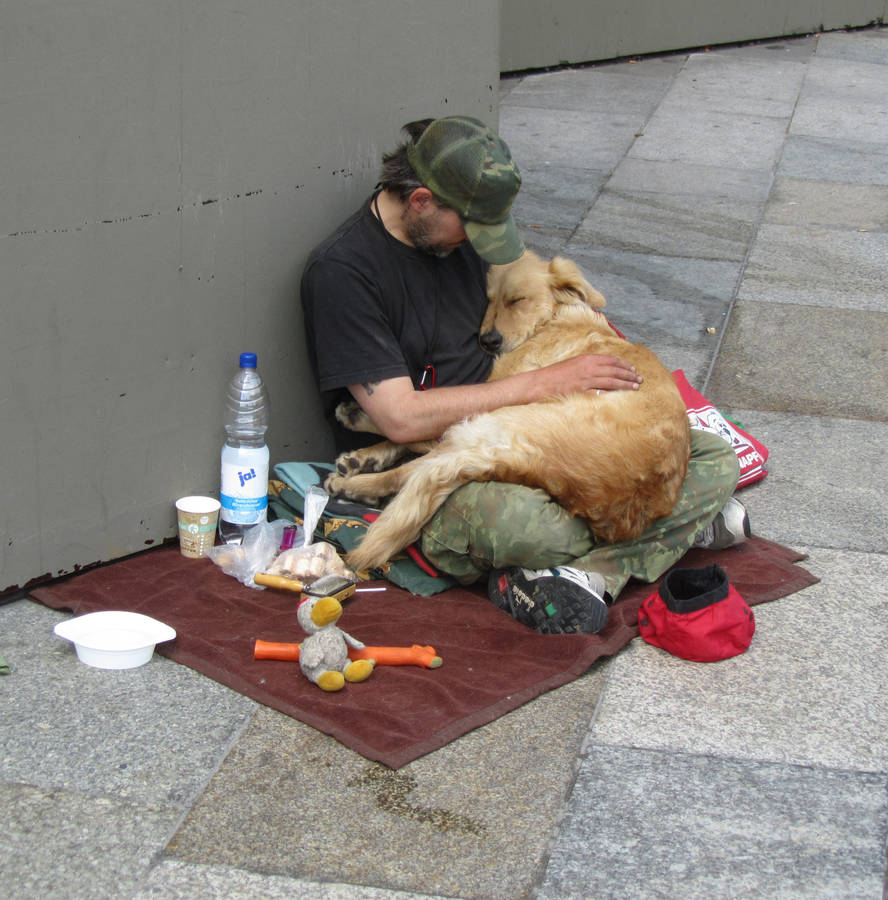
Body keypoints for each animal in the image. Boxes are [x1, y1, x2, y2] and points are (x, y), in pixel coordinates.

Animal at [326, 248, 692, 568]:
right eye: (488, 299)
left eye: (517, 300)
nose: (488, 341)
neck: (553, 316)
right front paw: (365, 453)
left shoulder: (498, 384)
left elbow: (412, 433)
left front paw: (360, 433)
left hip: (499, 419)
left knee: (412, 466)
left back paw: (352, 481)